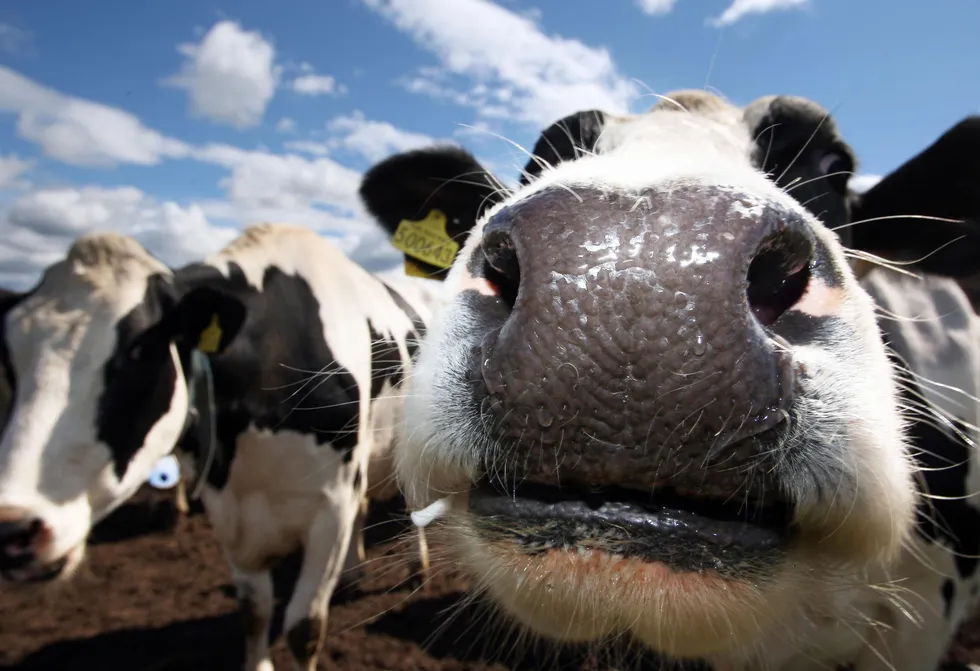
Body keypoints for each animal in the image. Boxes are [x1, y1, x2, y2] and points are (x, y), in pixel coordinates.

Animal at [0, 223, 435, 671]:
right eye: (9, 361)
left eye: (138, 349)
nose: (14, 529)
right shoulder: (229, 507)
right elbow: (253, 611)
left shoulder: (329, 505)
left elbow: (304, 627)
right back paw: (352, 573)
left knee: (414, 503)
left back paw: (416, 569)